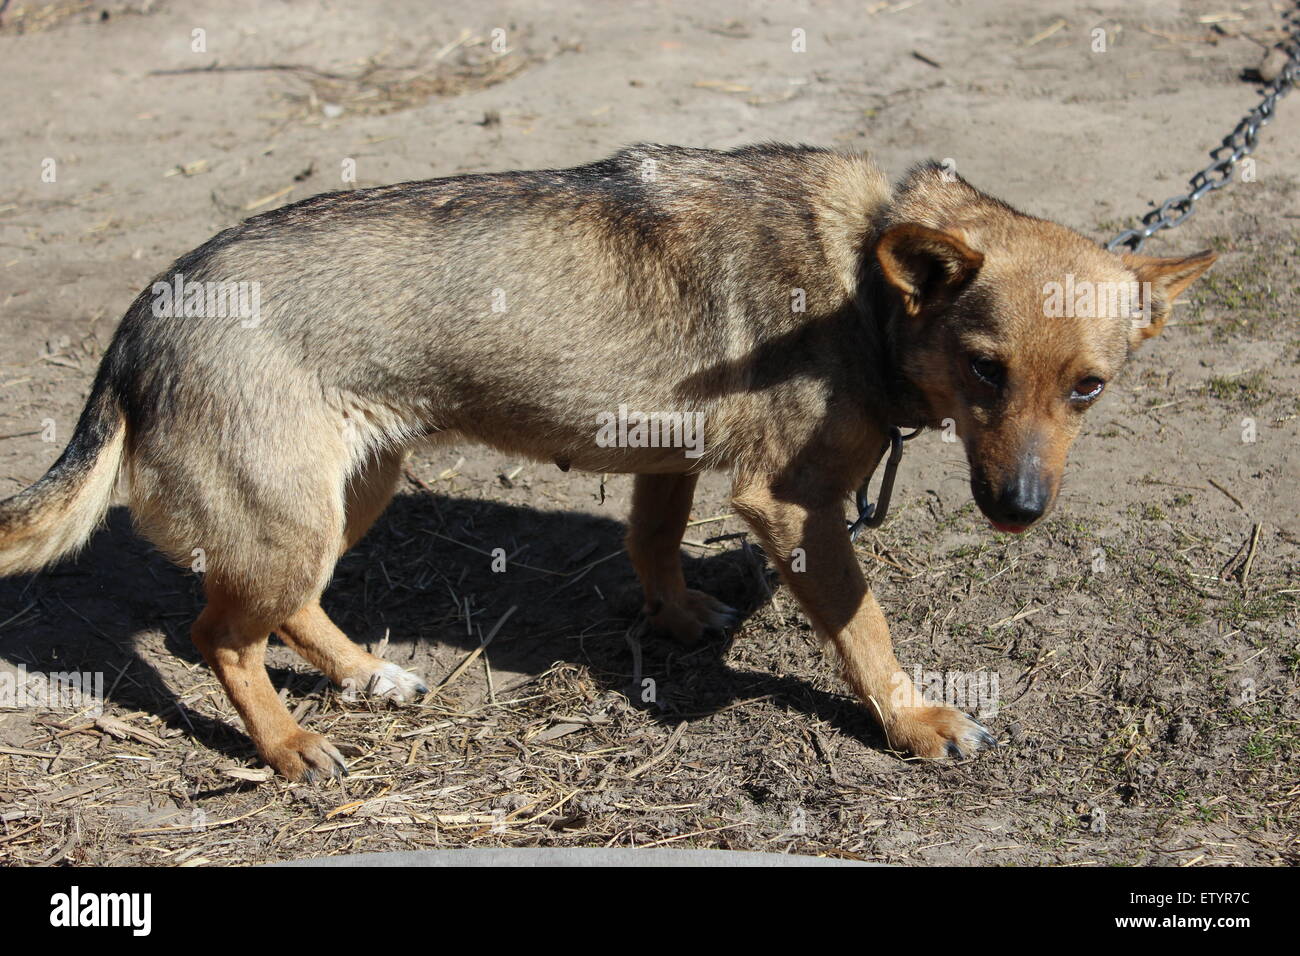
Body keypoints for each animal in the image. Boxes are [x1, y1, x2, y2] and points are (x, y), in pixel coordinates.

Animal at [0, 145, 1216, 780]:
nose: (1018, 507)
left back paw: (364, 675)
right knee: (216, 635)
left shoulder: (668, 457)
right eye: (982, 369)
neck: (867, 284)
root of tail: (141, 317)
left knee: (283, 613)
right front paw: (912, 721)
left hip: (348, 496)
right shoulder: (791, 506)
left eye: (1088, 388)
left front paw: (674, 620)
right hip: (289, 520)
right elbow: (864, 626)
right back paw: (292, 742)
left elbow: (654, 543)